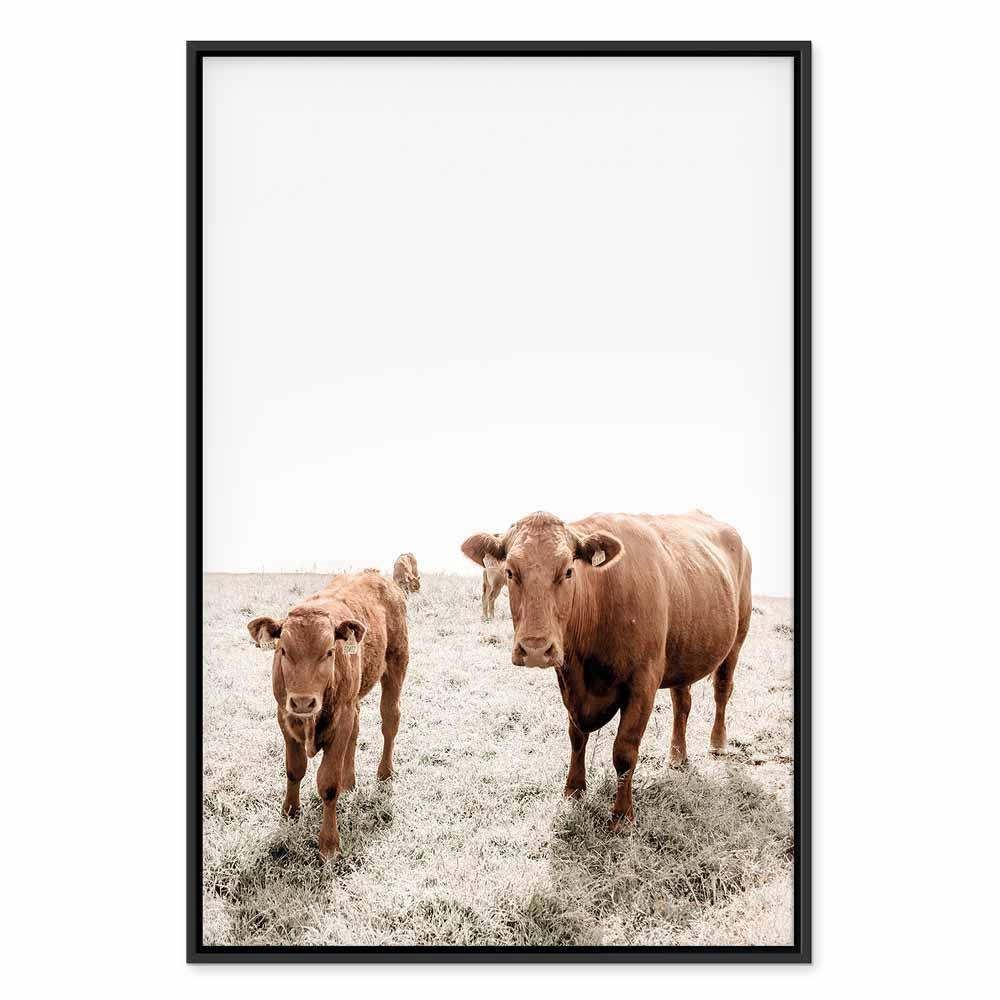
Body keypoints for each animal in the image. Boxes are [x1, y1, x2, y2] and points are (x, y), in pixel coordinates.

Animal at [247, 570, 408, 859]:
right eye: (283, 650)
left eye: (329, 651)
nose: (303, 701)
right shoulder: (284, 715)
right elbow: (294, 769)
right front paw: (290, 812)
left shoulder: (340, 719)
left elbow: (328, 784)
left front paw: (329, 844)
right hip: (354, 699)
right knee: (356, 731)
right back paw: (349, 780)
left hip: (396, 666)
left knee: (390, 721)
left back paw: (385, 772)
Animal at [461, 510, 751, 829]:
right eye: (510, 571)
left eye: (568, 571)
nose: (535, 648)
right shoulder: (570, 685)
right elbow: (576, 737)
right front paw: (573, 790)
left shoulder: (643, 685)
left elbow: (624, 751)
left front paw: (622, 815)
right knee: (682, 703)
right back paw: (677, 756)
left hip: (737, 638)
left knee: (722, 690)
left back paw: (718, 743)